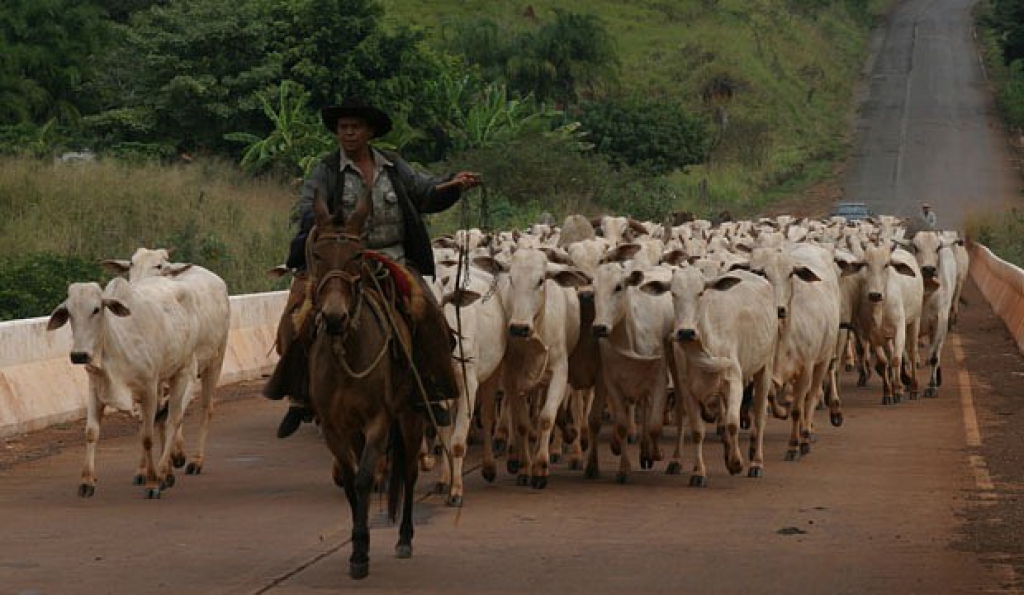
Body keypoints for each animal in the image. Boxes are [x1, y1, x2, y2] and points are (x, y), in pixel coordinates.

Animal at [47, 276, 198, 495]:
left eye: (96, 309)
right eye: (69, 312)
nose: (79, 355)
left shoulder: (148, 389)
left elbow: (147, 437)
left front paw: (153, 483)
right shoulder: (95, 389)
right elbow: (91, 432)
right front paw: (87, 481)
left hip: (181, 371)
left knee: (173, 420)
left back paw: (161, 473)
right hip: (162, 379)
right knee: (161, 421)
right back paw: (161, 473)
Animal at [309, 192, 425, 577]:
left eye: (357, 255)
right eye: (317, 254)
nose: (334, 317)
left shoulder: (378, 421)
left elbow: (363, 478)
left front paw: (360, 551)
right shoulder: (335, 427)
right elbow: (349, 479)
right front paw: (359, 545)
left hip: (410, 417)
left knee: (409, 472)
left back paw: (405, 538)